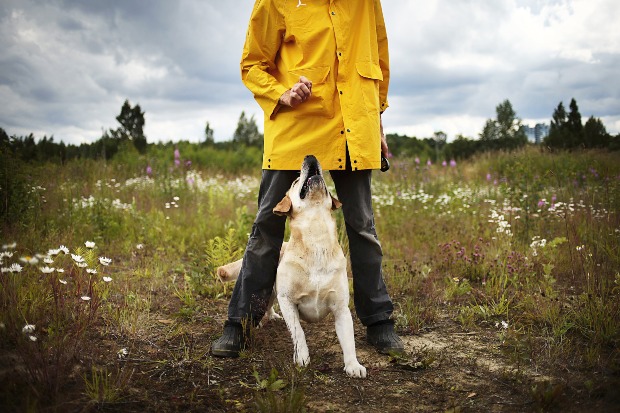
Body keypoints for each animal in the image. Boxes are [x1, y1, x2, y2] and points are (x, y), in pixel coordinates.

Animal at [218, 154, 366, 376]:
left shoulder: (341, 308)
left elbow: (349, 340)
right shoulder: (287, 300)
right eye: (296, 181)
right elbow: (299, 333)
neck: (317, 239)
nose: (310, 156)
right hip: (269, 290)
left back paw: (271, 316)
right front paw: (302, 358)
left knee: (269, 305)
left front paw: (353, 365)